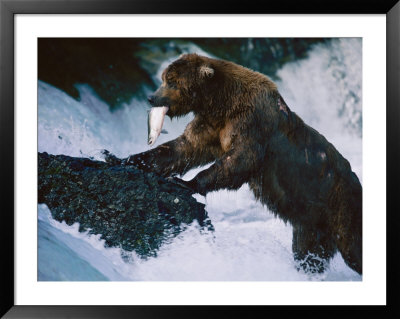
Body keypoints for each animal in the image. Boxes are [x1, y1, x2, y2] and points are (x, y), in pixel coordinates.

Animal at [115, 53, 360, 276]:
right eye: (164, 78)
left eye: (172, 81)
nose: (151, 97)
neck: (220, 103)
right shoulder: (212, 124)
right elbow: (183, 148)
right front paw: (127, 158)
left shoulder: (250, 121)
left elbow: (240, 160)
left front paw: (186, 183)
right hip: (312, 222)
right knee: (308, 252)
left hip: (341, 207)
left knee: (352, 249)